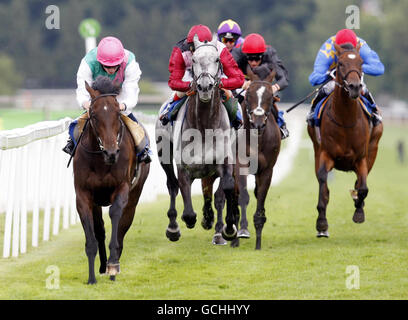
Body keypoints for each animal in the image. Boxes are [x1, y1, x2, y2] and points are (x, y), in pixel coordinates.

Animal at [73, 76, 150, 284]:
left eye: (117, 112)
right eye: (93, 114)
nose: (111, 153)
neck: (101, 161)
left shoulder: (121, 188)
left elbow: (116, 216)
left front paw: (113, 265)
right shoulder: (83, 194)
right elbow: (92, 236)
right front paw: (92, 277)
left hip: (135, 195)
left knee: (124, 223)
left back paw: (112, 264)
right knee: (100, 229)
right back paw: (102, 266)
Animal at [156, 33, 239, 242]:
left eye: (217, 59)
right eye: (193, 60)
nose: (204, 87)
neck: (204, 125)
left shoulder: (225, 161)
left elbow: (225, 188)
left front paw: (228, 227)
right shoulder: (184, 167)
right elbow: (186, 205)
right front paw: (190, 219)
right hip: (163, 154)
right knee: (172, 185)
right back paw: (173, 227)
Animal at [308, 43, 384, 238]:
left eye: (361, 62)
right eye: (340, 63)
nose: (355, 86)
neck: (345, 120)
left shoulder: (361, 158)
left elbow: (363, 187)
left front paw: (359, 211)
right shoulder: (325, 154)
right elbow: (323, 184)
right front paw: (321, 223)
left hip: (373, 149)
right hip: (316, 149)